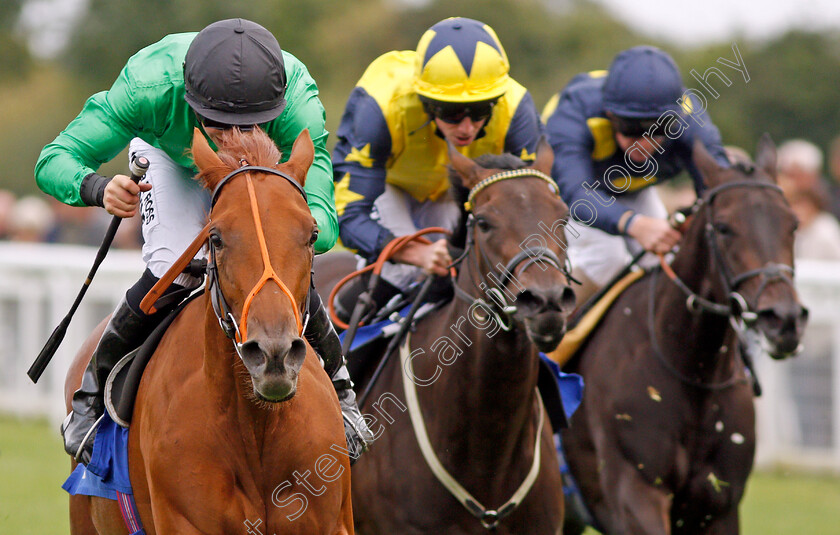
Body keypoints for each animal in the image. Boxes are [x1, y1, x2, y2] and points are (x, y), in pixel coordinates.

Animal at [560, 135, 812, 535]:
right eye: (723, 227)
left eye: (793, 224)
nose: (784, 319)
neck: (691, 370)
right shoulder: (635, 494)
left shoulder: (719, 507)